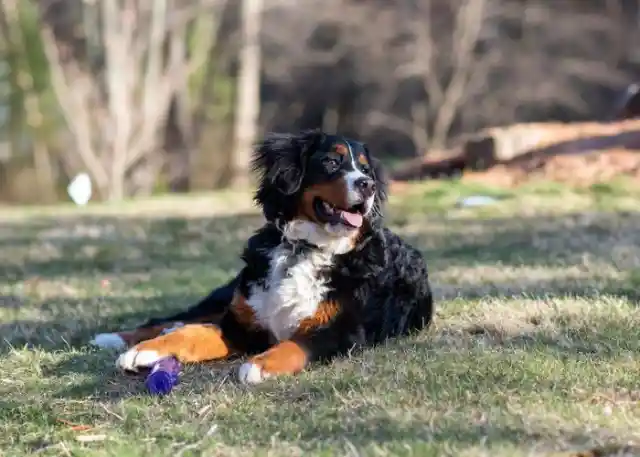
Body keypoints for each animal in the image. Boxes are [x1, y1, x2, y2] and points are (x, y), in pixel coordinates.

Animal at [91, 130, 436, 382]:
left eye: (365, 168)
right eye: (331, 161)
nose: (368, 185)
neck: (304, 249)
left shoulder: (343, 331)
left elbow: (296, 344)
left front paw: (260, 365)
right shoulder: (241, 325)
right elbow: (194, 333)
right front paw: (144, 351)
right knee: (175, 319)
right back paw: (114, 337)